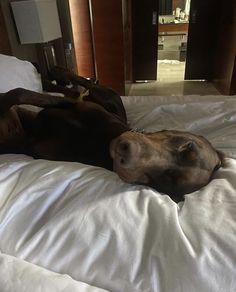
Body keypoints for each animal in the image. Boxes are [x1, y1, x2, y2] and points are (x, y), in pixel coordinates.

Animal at [0, 67, 223, 202]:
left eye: (164, 182)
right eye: (186, 145)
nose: (125, 152)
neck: (102, 141)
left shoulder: (30, 146)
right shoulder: (73, 106)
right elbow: (20, 93)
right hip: (107, 97)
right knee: (82, 85)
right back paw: (54, 74)